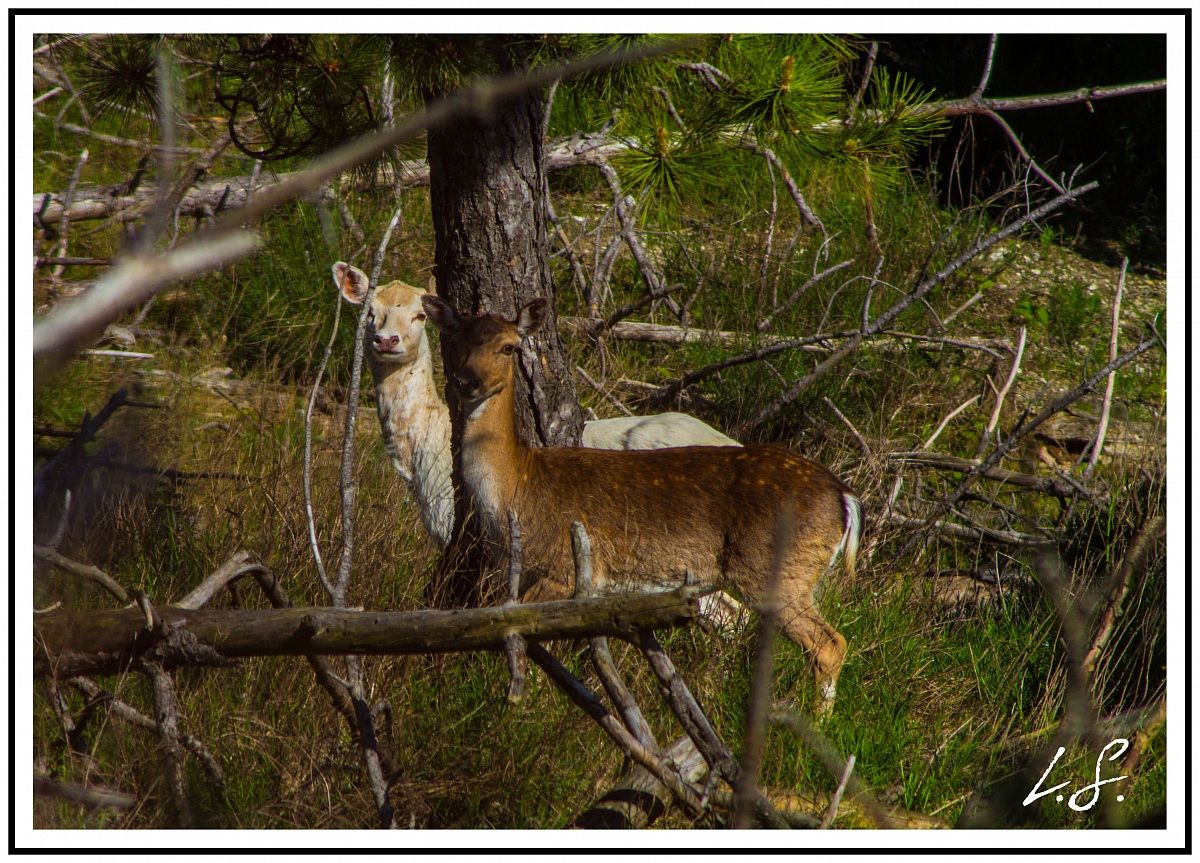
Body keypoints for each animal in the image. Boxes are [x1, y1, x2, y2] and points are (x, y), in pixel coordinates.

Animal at [422, 293, 862, 713]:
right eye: (456, 341)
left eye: (509, 347)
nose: (467, 381)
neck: (517, 488)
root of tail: (845, 497)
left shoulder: (560, 568)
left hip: (777, 570)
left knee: (829, 644)